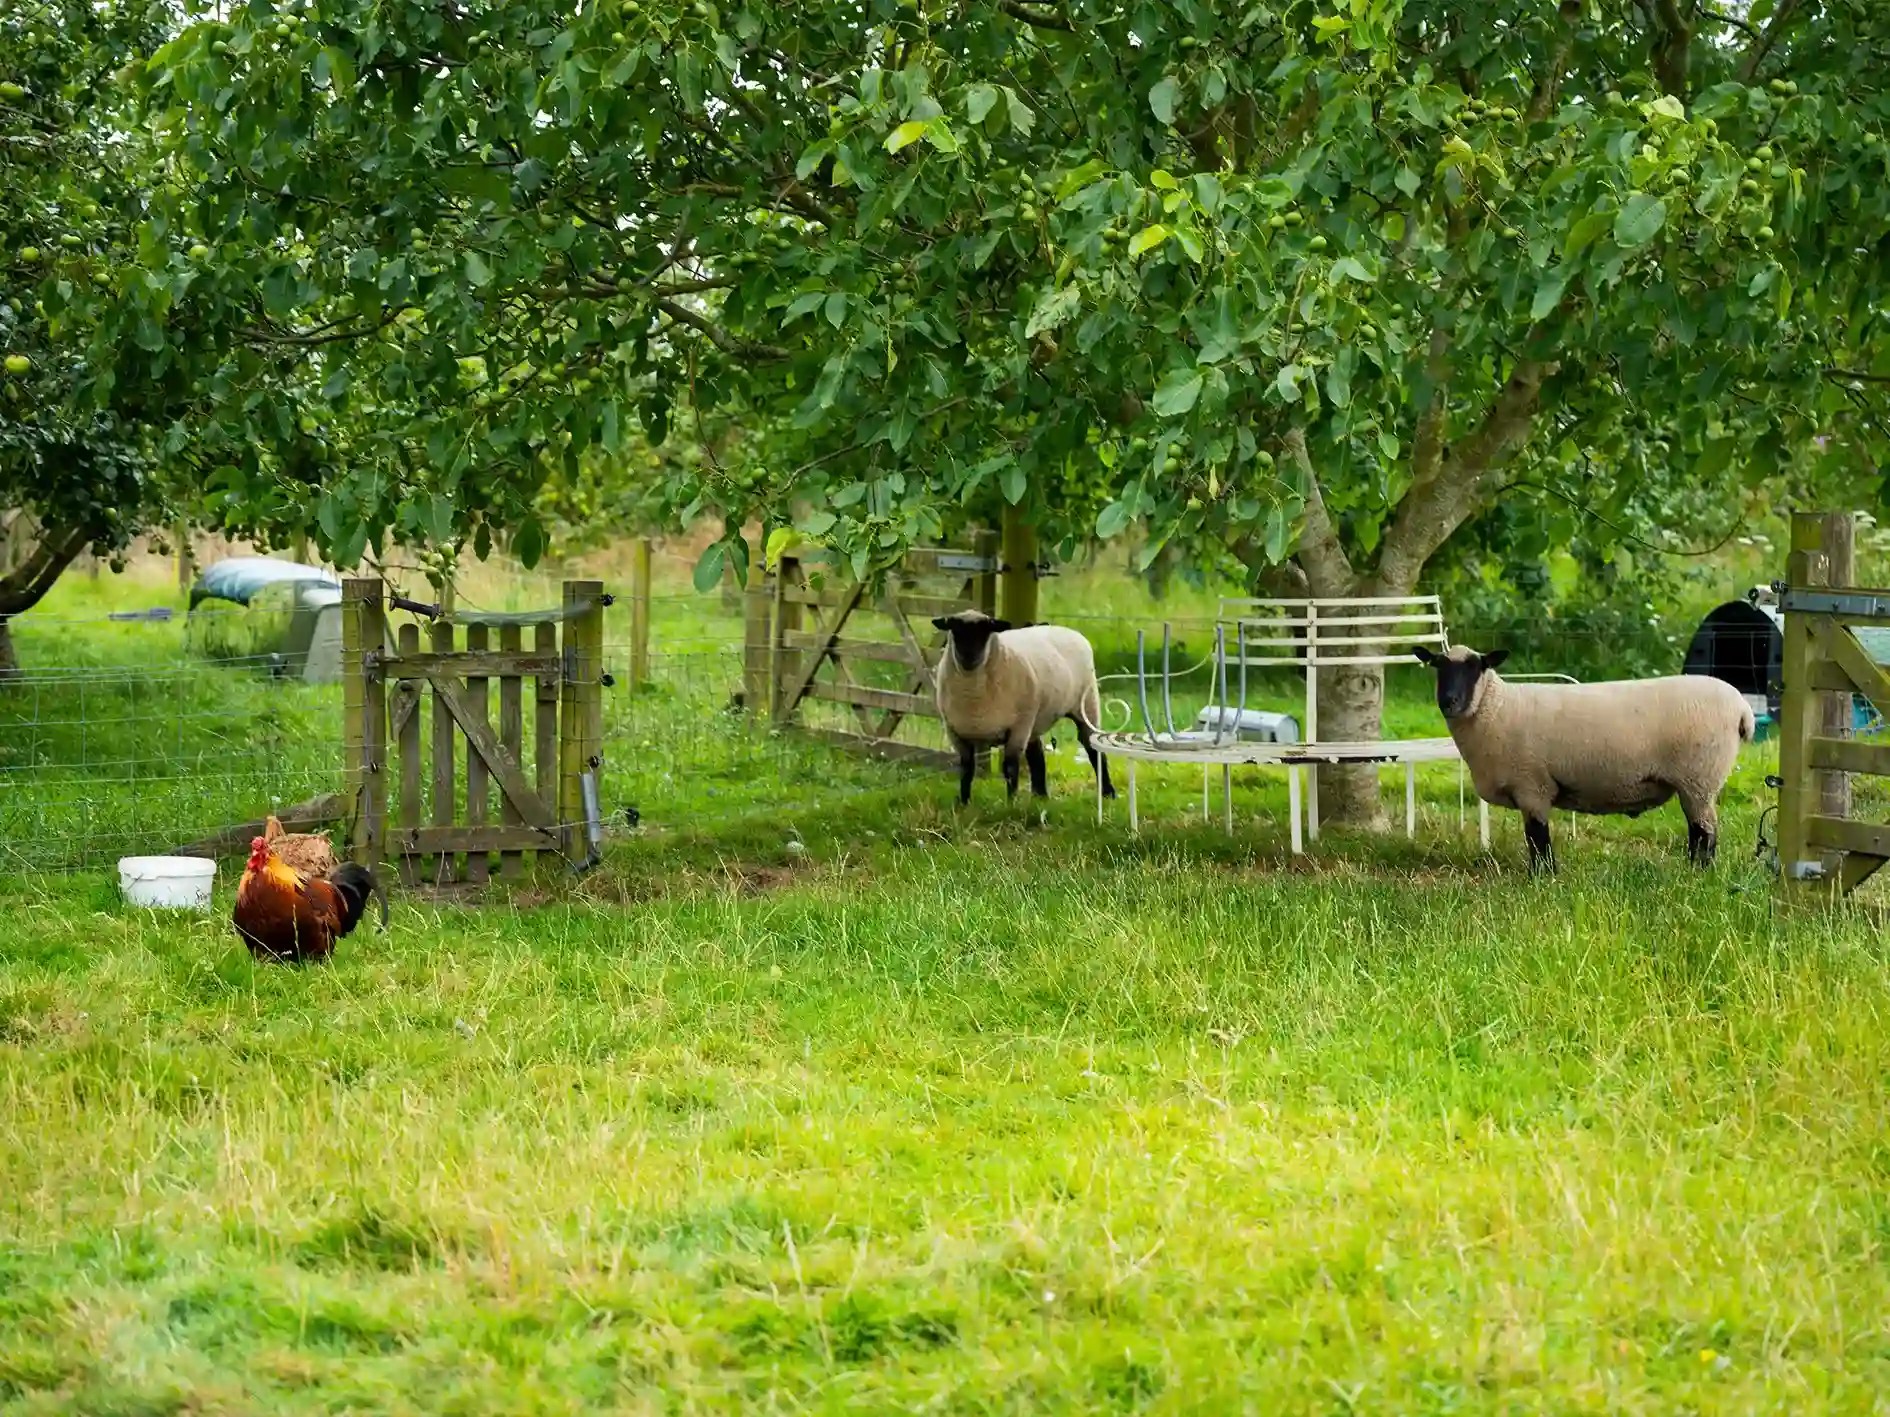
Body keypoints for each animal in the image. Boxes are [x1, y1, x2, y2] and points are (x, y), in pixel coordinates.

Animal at [931, 610, 1116, 805]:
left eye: (986, 630)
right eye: (955, 629)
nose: (968, 657)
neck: (974, 696)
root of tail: (1067, 630)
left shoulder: (1018, 728)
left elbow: (1010, 767)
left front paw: (1011, 803)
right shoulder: (955, 733)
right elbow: (966, 769)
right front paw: (964, 802)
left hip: (1086, 705)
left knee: (1092, 749)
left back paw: (1108, 793)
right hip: (1034, 720)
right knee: (1037, 755)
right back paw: (1040, 795)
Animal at [1413, 645, 1753, 871]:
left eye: (1476, 667)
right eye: (1438, 667)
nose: (1449, 701)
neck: (1496, 707)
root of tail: (1742, 709)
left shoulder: (1532, 786)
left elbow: (1537, 838)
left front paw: (1543, 877)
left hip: (1699, 778)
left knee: (1705, 831)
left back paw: (1699, 871)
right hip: (1697, 782)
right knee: (1699, 829)